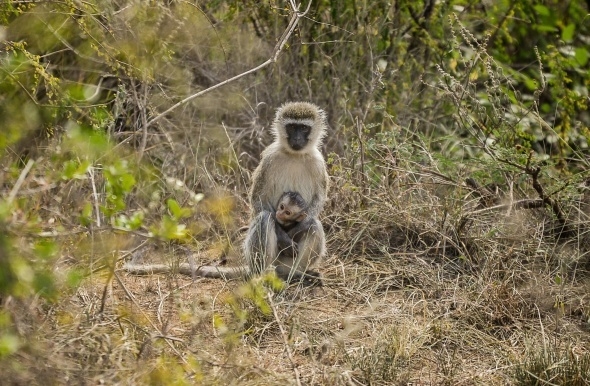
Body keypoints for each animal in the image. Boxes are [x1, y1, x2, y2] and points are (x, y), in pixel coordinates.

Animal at [125, 102, 330, 284]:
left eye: (303, 128)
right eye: (292, 127)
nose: (297, 139)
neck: (295, 154)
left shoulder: (319, 163)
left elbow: (317, 202)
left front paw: (297, 228)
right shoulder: (269, 159)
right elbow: (258, 199)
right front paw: (284, 238)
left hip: (288, 262)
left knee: (313, 225)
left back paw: (298, 274)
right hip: (263, 259)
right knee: (265, 219)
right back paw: (264, 275)